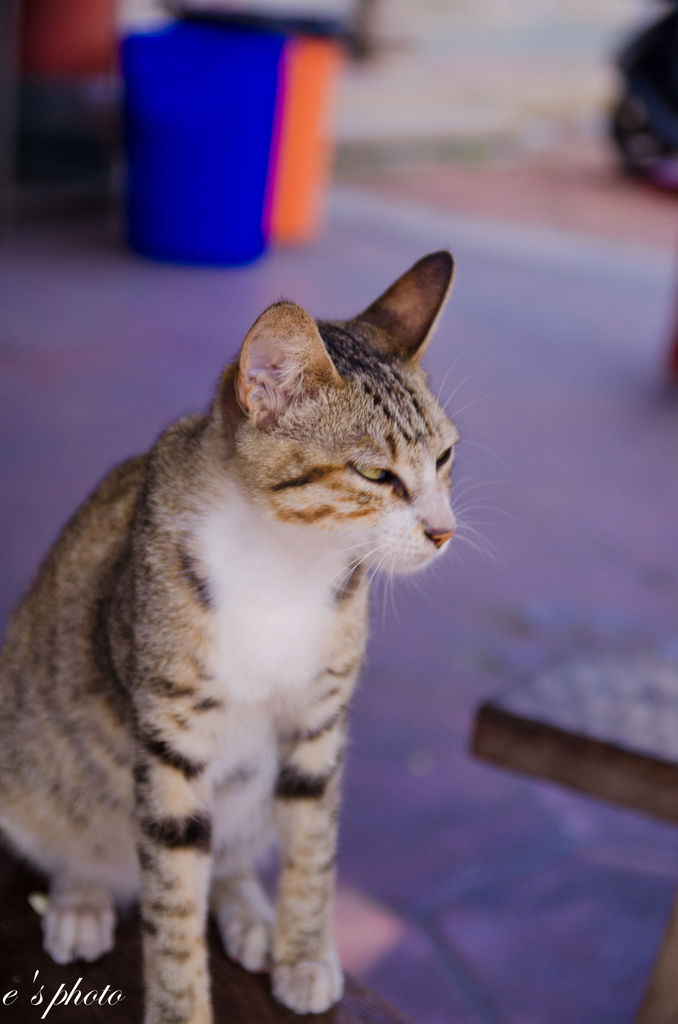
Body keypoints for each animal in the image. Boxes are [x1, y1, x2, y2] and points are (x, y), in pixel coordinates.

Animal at [0, 251, 458, 1019]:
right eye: (375, 472)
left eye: (447, 458)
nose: (444, 530)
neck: (285, 565)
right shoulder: (170, 740)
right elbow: (172, 894)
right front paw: (179, 1006)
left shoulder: (319, 725)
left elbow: (313, 848)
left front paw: (304, 952)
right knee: (87, 840)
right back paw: (82, 898)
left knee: (236, 850)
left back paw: (247, 912)